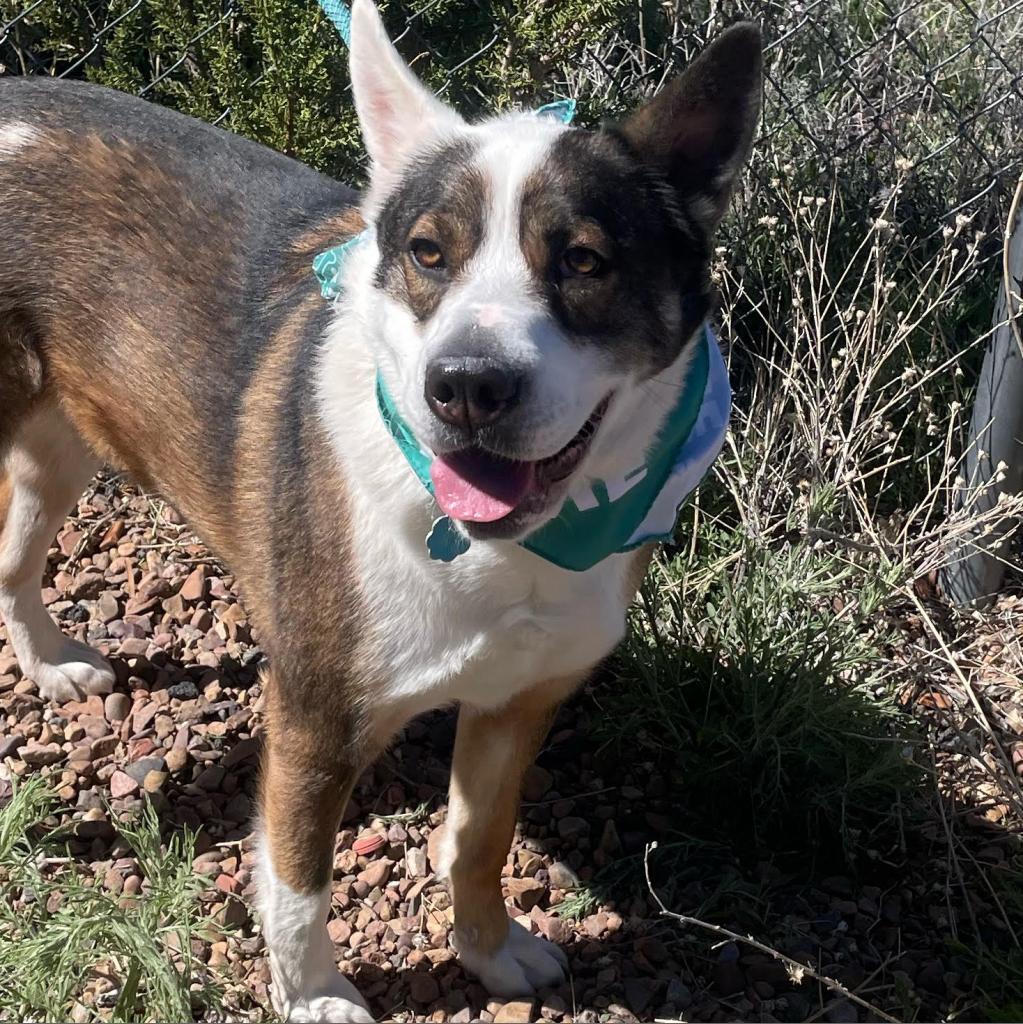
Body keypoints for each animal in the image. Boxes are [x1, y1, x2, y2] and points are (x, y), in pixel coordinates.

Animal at [0, 4, 761, 1019]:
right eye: (427, 253)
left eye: (583, 260)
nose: (467, 387)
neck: (499, 549)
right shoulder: (318, 717)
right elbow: (296, 883)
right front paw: (315, 994)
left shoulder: (519, 699)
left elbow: (480, 842)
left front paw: (490, 953)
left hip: (64, 437)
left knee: (13, 557)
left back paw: (48, 664)